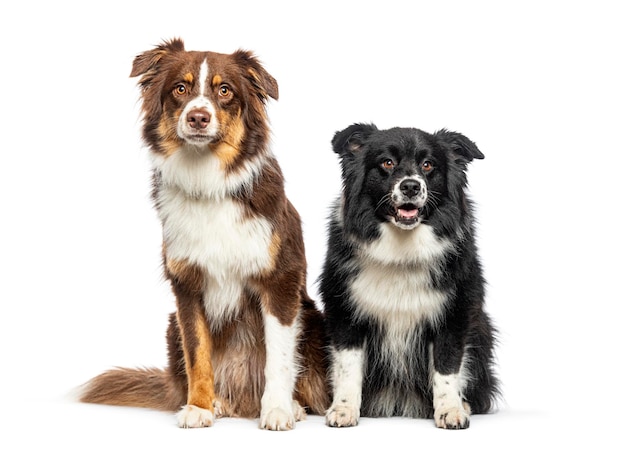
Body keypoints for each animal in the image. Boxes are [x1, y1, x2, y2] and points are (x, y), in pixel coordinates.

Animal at [79, 38, 326, 432]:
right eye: (181, 88)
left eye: (224, 91)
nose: (198, 116)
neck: (208, 181)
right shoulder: (187, 286)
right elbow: (198, 354)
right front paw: (199, 407)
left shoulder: (281, 280)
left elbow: (279, 357)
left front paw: (277, 410)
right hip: (170, 325)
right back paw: (219, 402)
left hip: (313, 318)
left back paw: (293, 406)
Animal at [320, 123, 494, 430]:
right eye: (387, 163)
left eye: (428, 165)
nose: (410, 186)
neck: (401, 248)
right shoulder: (344, 311)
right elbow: (348, 366)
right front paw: (343, 409)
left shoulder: (455, 313)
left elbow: (447, 366)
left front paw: (450, 410)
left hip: (483, 328)